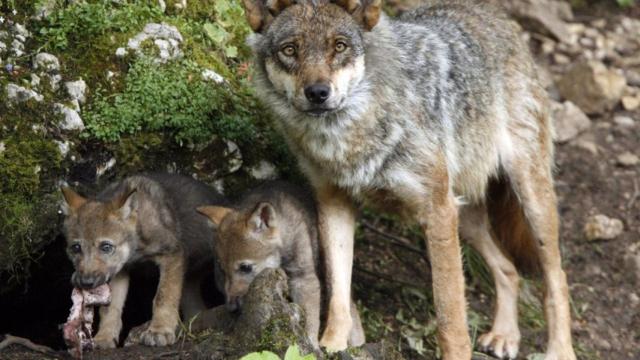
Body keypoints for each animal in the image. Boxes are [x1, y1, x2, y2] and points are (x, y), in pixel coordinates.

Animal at [242, 0, 576, 358]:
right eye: (290, 50)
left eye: (340, 46)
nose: (318, 92)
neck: (348, 138)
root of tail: (495, 15)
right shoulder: (334, 203)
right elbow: (339, 292)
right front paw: (331, 345)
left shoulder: (437, 212)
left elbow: (449, 315)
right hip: (464, 217)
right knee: (509, 269)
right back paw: (504, 335)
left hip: (528, 200)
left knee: (556, 277)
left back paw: (559, 349)